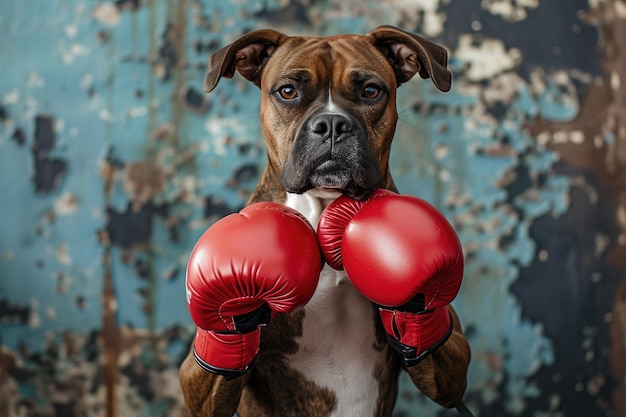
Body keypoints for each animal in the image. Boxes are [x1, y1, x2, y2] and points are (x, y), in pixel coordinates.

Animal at [178, 24, 470, 414]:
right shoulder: (198, 382)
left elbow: (429, 332)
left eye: (370, 91)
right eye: (288, 91)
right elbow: (224, 347)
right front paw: (238, 302)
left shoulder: (453, 367)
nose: (331, 123)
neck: (324, 213)